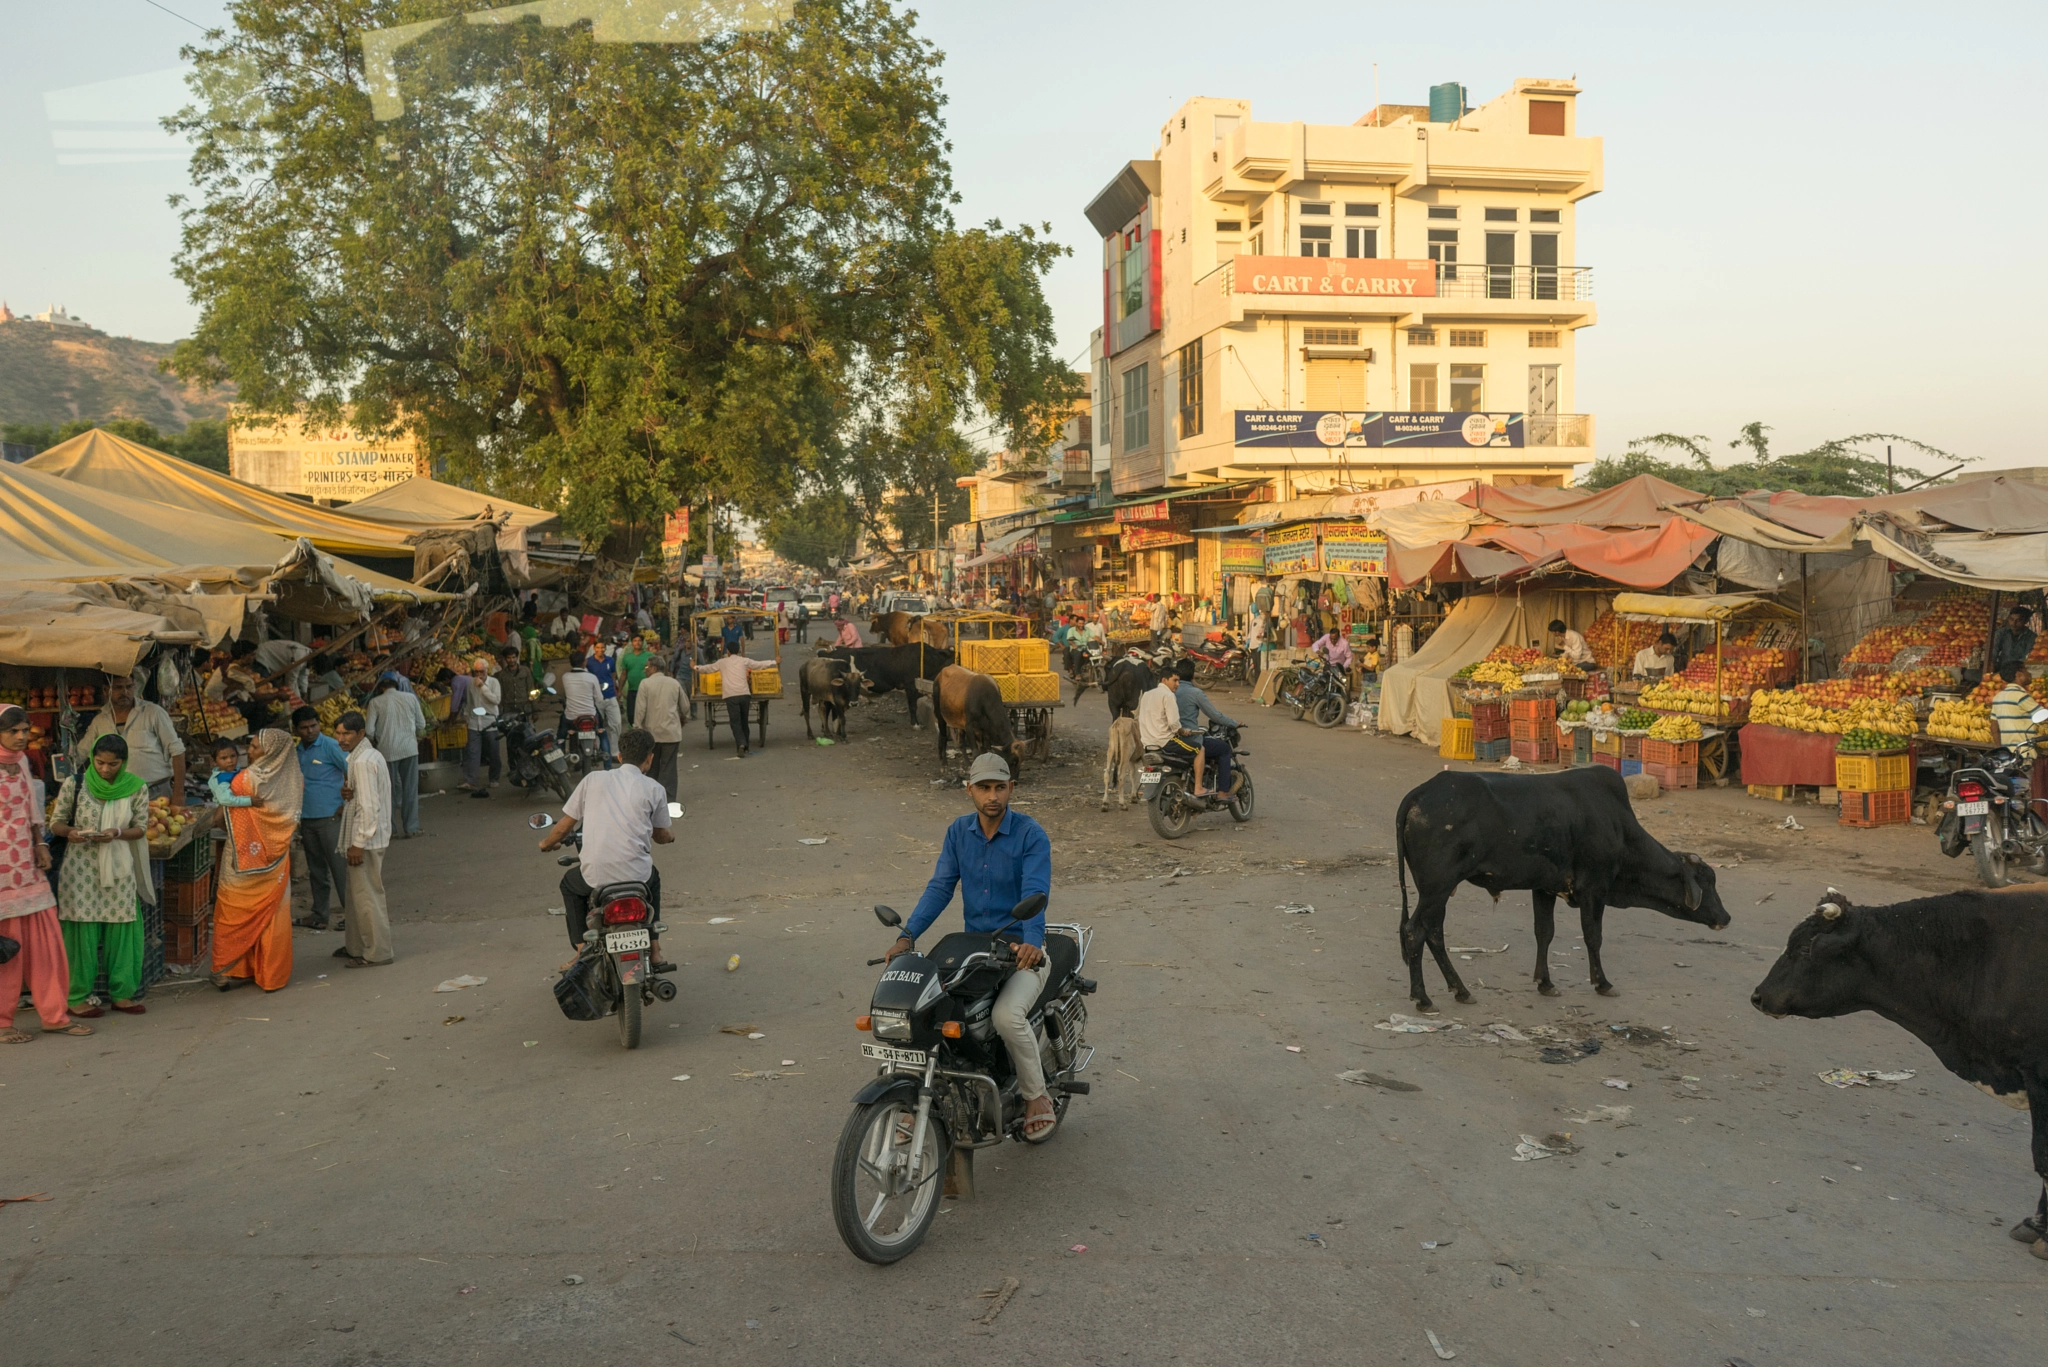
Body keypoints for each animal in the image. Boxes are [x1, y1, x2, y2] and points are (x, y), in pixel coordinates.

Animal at [1392, 770, 1728, 1016]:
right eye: (1708, 882)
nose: (1725, 917)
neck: (1620, 829)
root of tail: (1419, 793)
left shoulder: (1544, 887)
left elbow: (1544, 933)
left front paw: (1545, 983)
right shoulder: (1594, 888)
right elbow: (1593, 936)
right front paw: (1602, 983)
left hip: (1437, 891)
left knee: (1433, 932)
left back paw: (1460, 990)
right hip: (1437, 888)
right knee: (1414, 931)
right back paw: (1423, 998)